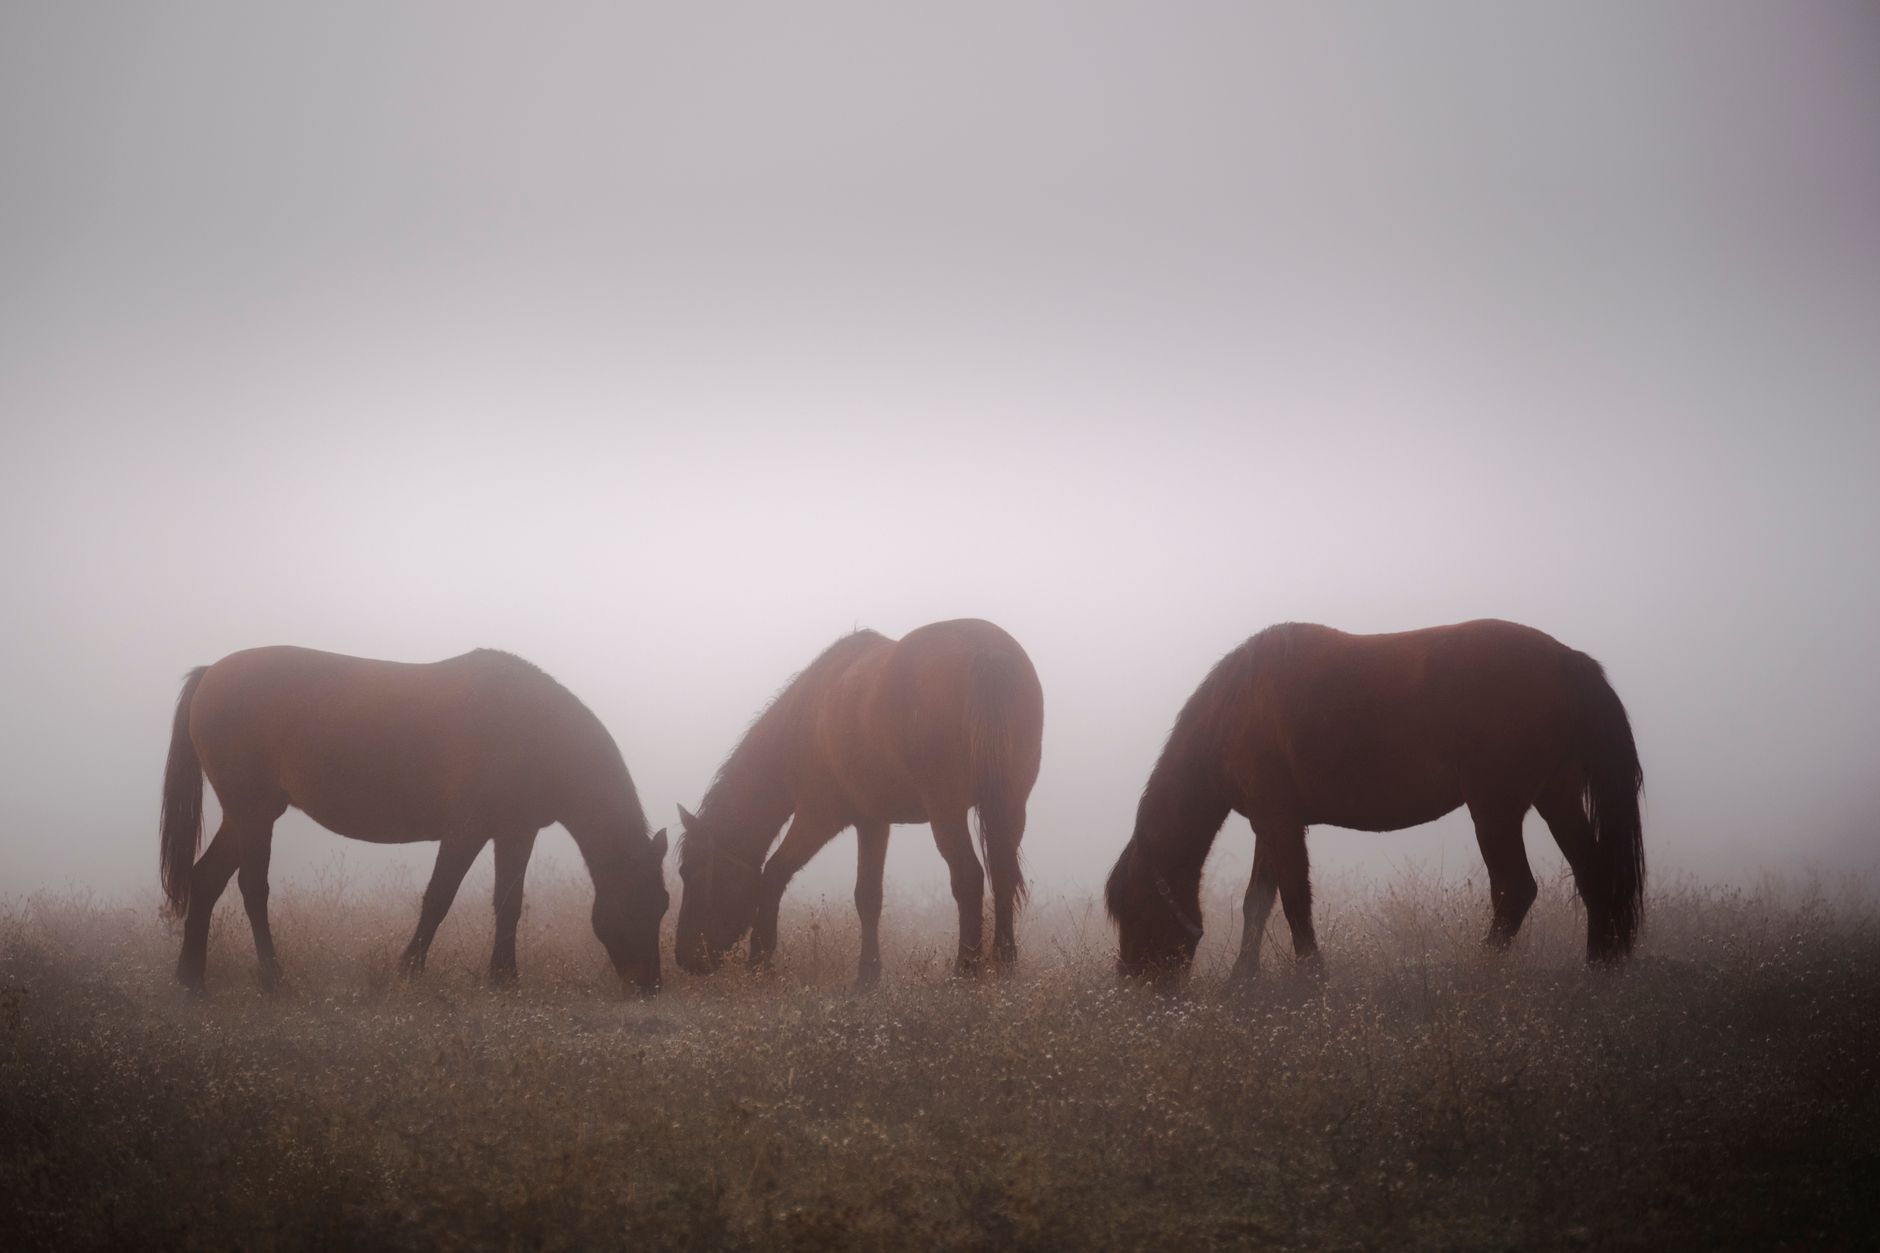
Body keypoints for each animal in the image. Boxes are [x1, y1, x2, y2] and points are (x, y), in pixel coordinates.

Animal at [159, 646, 670, 994]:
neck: (533, 729)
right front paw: (408, 970)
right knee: (252, 890)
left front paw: (504, 978)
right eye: (638, 904)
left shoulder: (515, 832)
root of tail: (211, 674)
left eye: (663, 904)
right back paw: (273, 979)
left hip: (248, 814)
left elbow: (508, 903)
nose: (649, 986)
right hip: (253, 814)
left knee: (206, 880)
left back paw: (192, 980)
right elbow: (438, 899)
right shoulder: (466, 830)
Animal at [673, 618, 1044, 986]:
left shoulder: (817, 818)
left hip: (946, 812)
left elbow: (774, 873)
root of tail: (986, 650)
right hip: (1011, 806)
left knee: (968, 876)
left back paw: (964, 970)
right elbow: (868, 896)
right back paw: (1005, 963)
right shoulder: (873, 823)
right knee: (1003, 874)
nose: (684, 959)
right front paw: (868, 975)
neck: (807, 719)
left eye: (689, 871)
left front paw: (760, 961)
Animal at [1104, 619, 1644, 980]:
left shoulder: (1279, 821)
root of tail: (1567, 660)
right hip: (1557, 796)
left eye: (1133, 910)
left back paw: (1478, 970)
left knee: (1515, 889)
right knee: (1593, 874)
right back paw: (1597, 968)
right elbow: (1257, 902)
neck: (1234, 706)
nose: (1134, 985)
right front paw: (1242, 981)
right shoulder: (1270, 822)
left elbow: (1294, 899)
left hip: (1496, 808)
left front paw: (1311, 977)